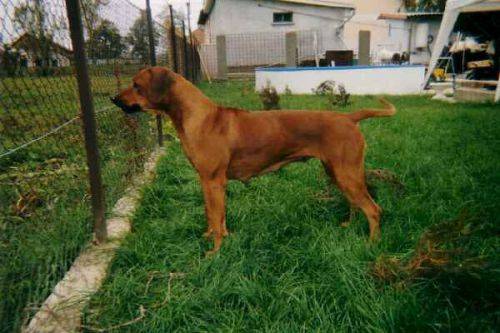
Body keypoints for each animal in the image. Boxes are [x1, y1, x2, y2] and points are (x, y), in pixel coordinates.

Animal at [111, 67, 396, 254]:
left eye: (136, 85)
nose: (113, 99)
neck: (199, 117)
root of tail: (349, 117)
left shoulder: (213, 181)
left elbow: (215, 216)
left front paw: (214, 252)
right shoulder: (208, 182)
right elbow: (214, 216)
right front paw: (213, 236)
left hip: (347, 174)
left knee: (373, 209)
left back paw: (372, 245)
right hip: (337, 173)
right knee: (356, 204)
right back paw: (349, 226)